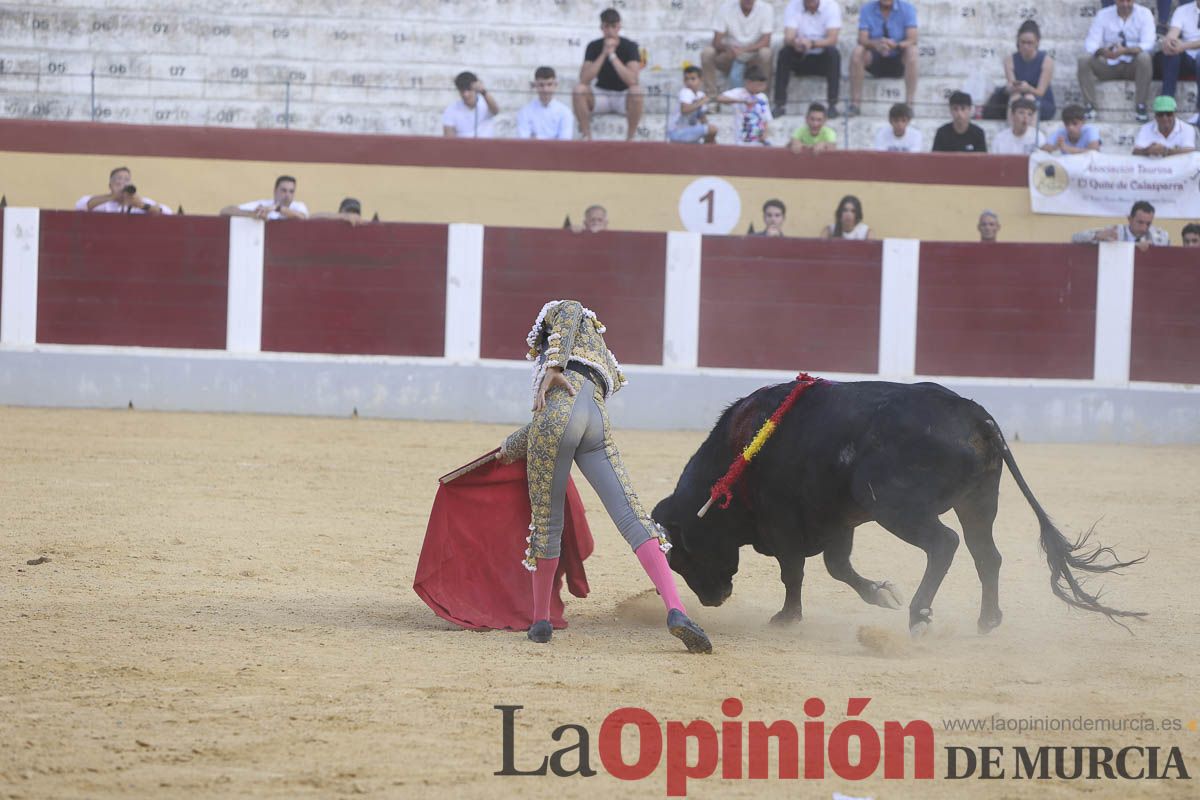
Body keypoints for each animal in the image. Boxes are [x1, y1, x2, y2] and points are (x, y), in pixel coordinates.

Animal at [652, 381, 1147, 638]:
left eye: (684, 556)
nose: (712, 599)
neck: (736, 459)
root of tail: (976, 416)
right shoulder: (838, 521)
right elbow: (837, 567)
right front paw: (879, 594)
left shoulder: (786, 524)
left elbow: (795, 573)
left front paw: (787, 618)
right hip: (977, 501)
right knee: (986, 555)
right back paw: (987, 620)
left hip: (895, 507)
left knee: (944, 544)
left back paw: (920, 614)